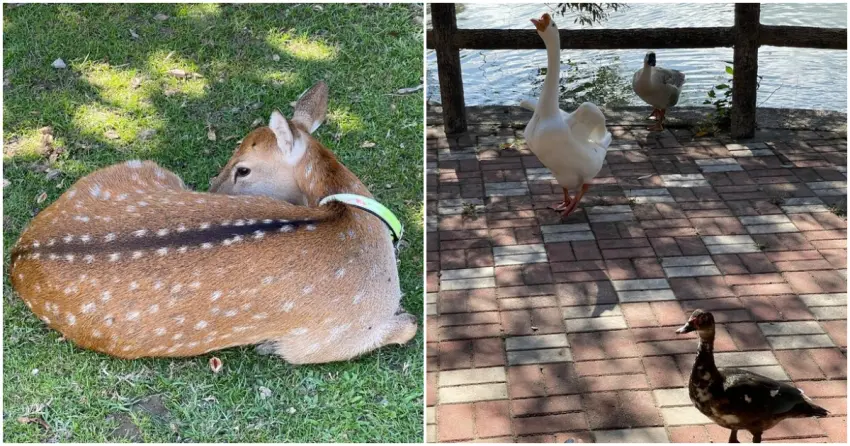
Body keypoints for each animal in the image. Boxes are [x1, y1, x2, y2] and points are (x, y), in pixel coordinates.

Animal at [9, 81, 418, 364]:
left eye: (243, 169)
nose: (211, 191)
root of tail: (18, 254)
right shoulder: (327, 340)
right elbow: (411, 325)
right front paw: (267, 345)